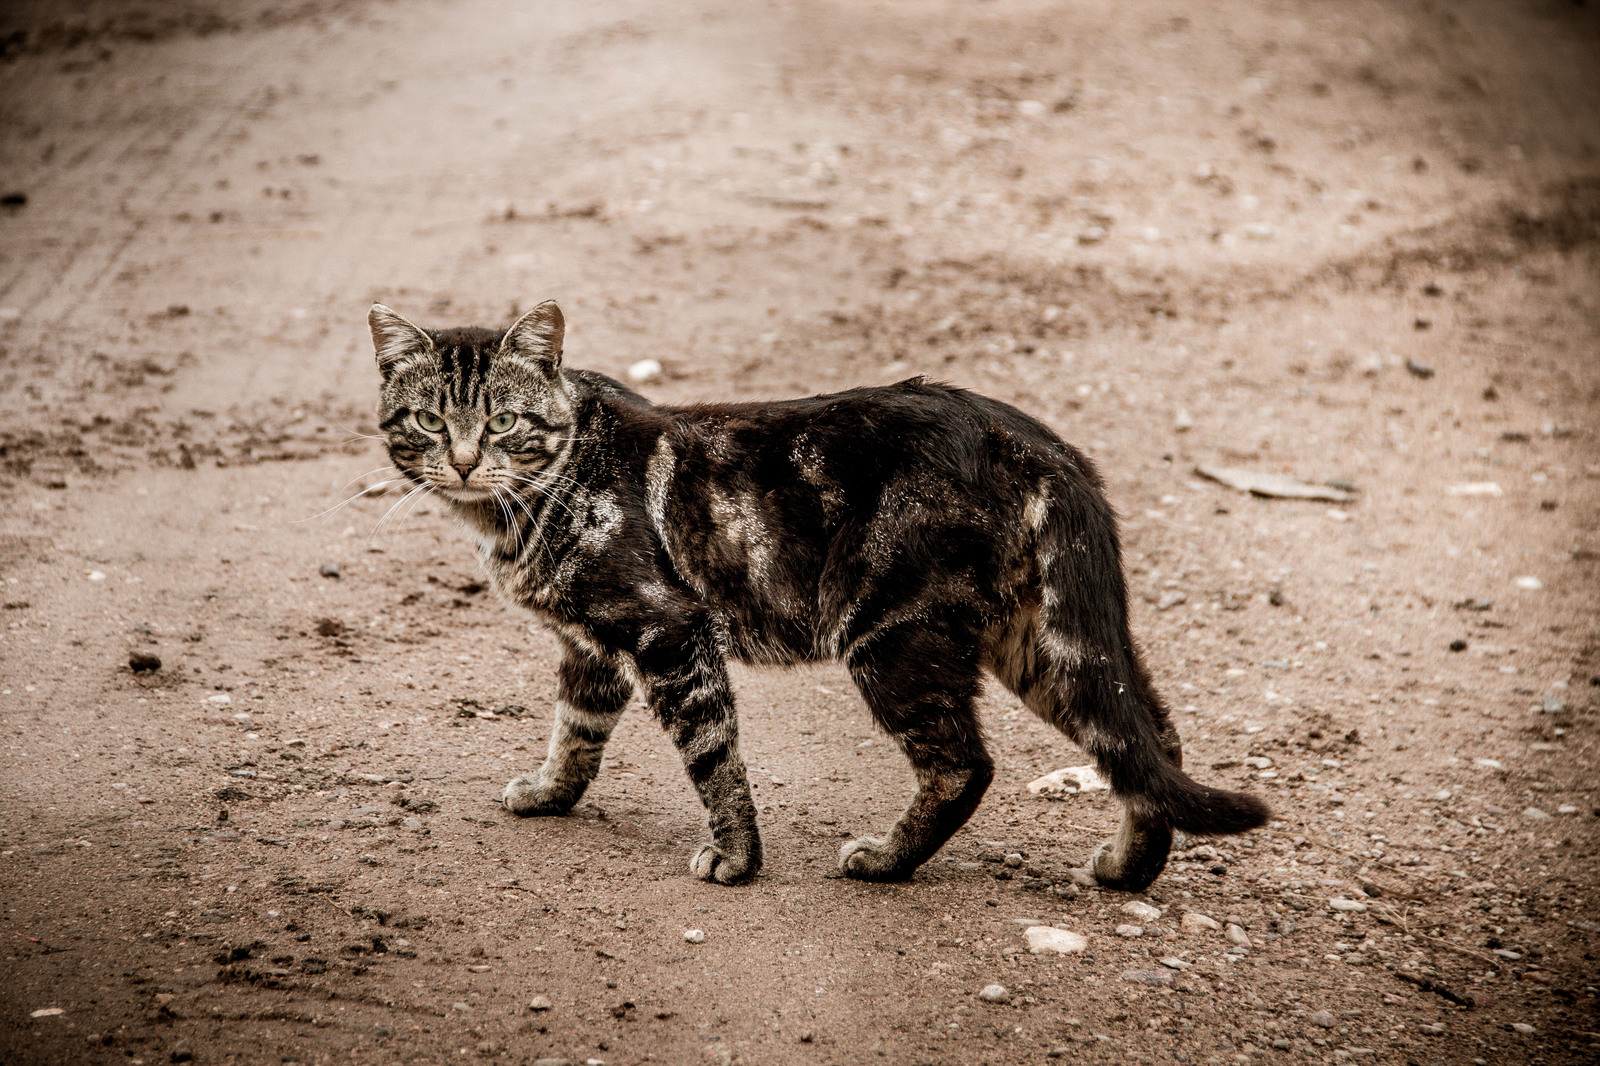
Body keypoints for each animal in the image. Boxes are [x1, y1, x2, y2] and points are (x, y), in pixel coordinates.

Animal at [368, 299, 1267, 889]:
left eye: (503, 422)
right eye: (427, 421)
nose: (462, 461)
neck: (524, 507)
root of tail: (1036, 441)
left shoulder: (670, 630)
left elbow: (713, 755)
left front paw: (737, 859)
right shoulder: (590, 646)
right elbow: (576, 733)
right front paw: (550, 795)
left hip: (896, 637)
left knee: (965, 765)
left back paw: (886, 861)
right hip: (1045, 644)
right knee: (1149, 743)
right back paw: (1127, 869)